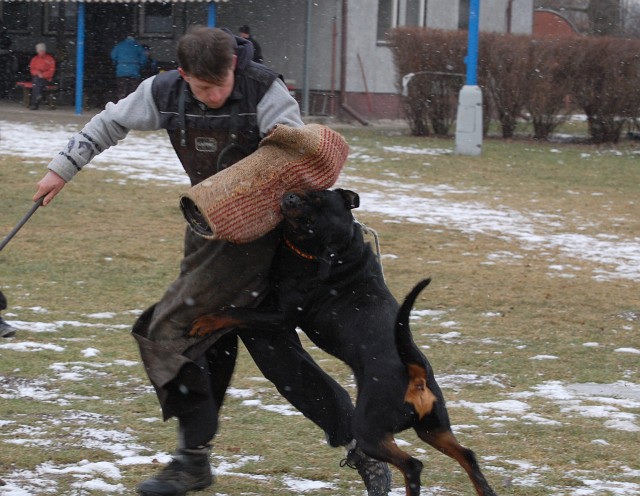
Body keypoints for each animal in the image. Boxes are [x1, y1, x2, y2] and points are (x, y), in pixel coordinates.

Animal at [189, 189, 497, 496]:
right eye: (313, 194)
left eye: (307, 222)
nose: (289, 197)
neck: (334, 255)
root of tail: (414, 372)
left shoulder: (281, 316)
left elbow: (235, 311)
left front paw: (205, 321)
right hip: (432, 427)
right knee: (467, 454)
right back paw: (485, 490)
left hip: (370, 428)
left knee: (412, 464)